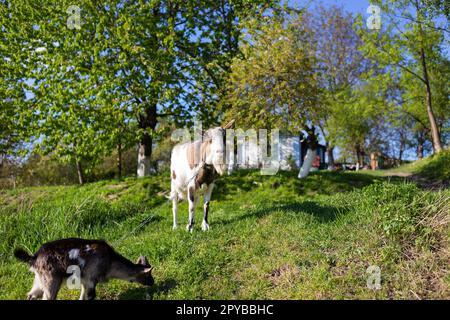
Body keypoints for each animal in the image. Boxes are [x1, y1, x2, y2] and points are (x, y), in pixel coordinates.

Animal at [14, 238, 155, 300]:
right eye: (148, 275)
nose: (153, 283)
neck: (110, 261)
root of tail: (34, 257)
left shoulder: (84, 280)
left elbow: (82, 296)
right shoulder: (91, 279)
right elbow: (90, 296)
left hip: (39, 280)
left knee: (31, 295)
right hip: (51, 281)